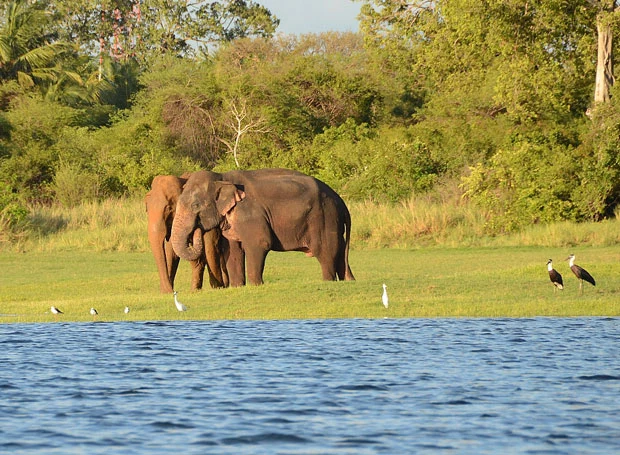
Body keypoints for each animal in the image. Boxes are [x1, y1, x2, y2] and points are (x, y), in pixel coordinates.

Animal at [170, 169, 356, 286]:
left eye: (195, 205)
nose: (196, 230)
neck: (222, 176)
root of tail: (341, 202)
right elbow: (233, 250)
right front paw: (238, 286)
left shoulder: (250, 214)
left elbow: (259, 243)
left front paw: (255, 285)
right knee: (339, 252)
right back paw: (346, 280)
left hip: (324, 218)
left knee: (325, 252)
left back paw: (328, 281)